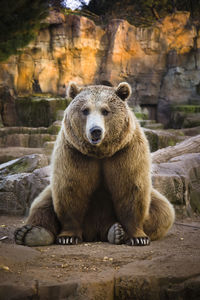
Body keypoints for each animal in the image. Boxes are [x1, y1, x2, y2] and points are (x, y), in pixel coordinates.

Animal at [14, 82, 175, 246]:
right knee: (42, 203)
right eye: (85, 110)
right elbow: (71, 189)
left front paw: (138, 237)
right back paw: (31, 233)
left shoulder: (125, 151)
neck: (100, 152)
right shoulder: (75, 154)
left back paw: (116, 232)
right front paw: (68, 237)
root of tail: (96, 233)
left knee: (163, 209)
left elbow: (132, 189)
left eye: (105, 111)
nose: (95, 131)